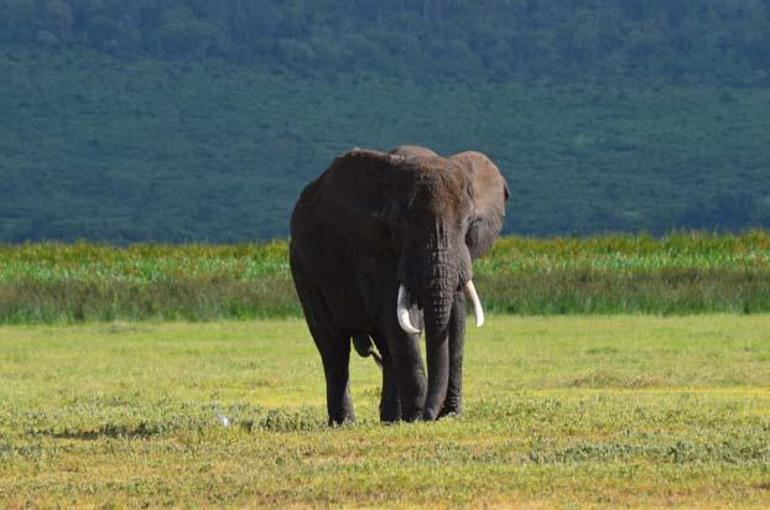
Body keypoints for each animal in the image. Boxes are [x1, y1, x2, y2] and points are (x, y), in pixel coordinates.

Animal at [286, 145, 504, 424]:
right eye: (401, 223)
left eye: (469, 223)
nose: (434, 416)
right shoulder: (374, 252)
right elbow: (399, 323)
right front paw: (419, 417)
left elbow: (451, 322)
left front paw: (447, 416)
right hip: (303, 268)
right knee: (333, 346)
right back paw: (345, 423)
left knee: (384, 346)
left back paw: (391, 418)